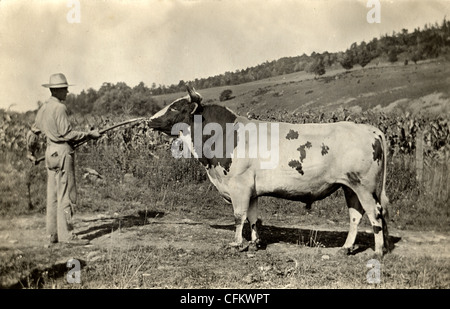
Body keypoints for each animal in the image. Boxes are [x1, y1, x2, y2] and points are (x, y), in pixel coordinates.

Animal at [148, 85, 390, 255]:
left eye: (176, 107)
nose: (149, 120)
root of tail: (372, 129)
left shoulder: (239, 185)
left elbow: (239, 216)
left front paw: (236, 244)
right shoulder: (252, 189)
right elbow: (253, 217)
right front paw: (255, 243)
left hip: (364, 186)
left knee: (375, 214)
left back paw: (378, 252)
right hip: (350, 186)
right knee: (356, 215)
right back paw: (346, 248)